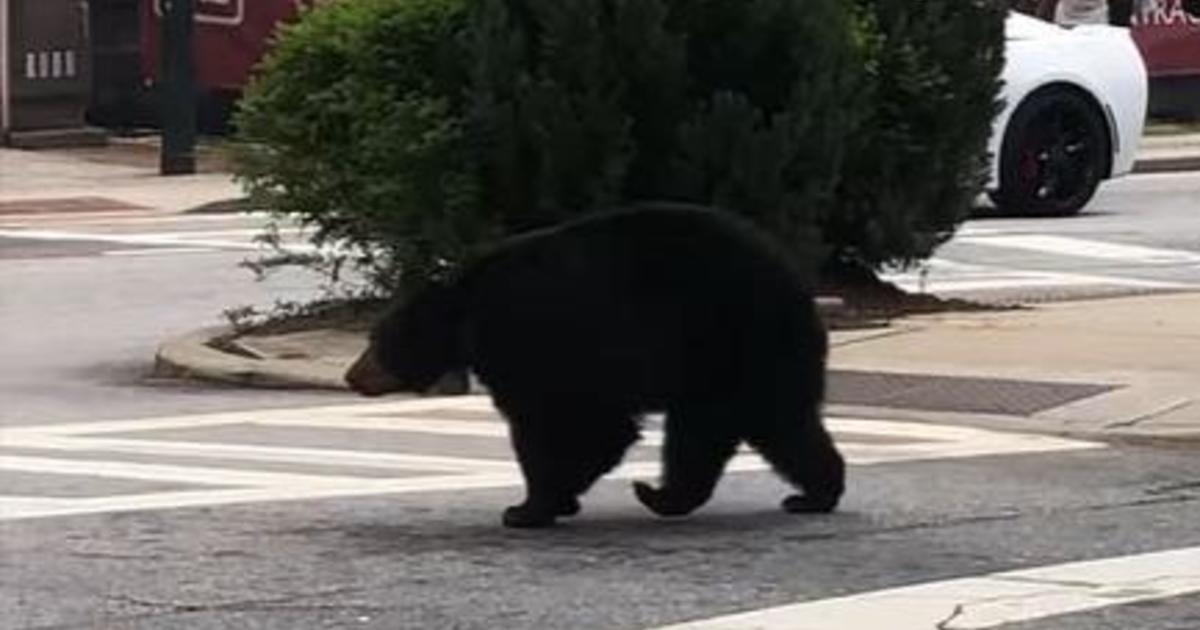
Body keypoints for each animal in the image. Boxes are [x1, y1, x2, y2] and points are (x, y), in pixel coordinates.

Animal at [348, 205, 844, 525]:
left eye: (375, 340)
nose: (352, 376)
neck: (467, 317)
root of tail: (799, 286)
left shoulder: (532, 347)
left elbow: (561, 427)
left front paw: (530, 507)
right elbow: (601, 428)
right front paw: (555, 499)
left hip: (728, 344)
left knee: (725, 427)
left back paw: (664, 495)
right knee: (775, 425)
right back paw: (809, 494)